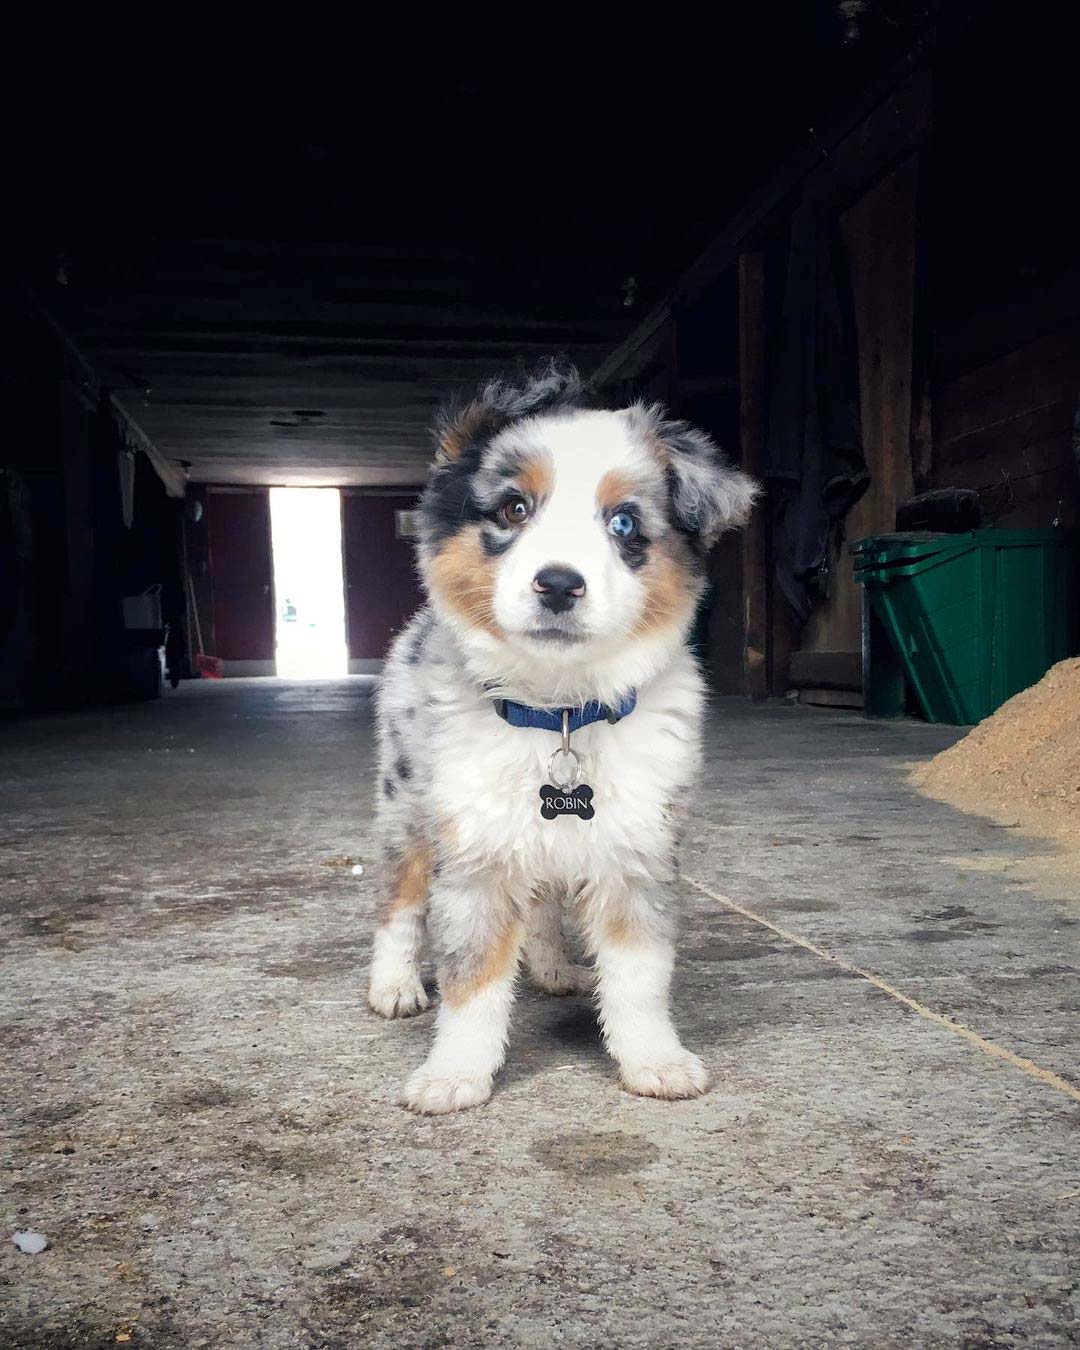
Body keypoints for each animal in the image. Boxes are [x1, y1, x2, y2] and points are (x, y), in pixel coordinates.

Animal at [367, 364, 756, 1112]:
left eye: (625, 522)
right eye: (514, 510)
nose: (558, 584)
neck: (562, 709)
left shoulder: (638, 849)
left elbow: (639, 976)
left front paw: (654, 1060)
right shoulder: (475, 852)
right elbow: (472, 979)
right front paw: (455, 1072)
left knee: (543, 902)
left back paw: (550, 967)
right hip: (407, 803)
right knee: (400, 898)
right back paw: (393, 983)